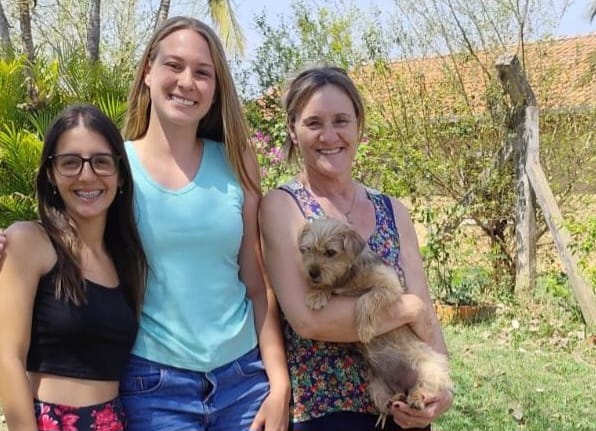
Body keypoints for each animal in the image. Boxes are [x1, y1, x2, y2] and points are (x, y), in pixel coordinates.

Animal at [298, 217, 453, 425]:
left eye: (330, 252)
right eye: (307, 249)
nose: (312, 273)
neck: (348, 275)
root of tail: (402, 385)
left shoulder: (389, 286)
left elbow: (365, 299)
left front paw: (364, 329)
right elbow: (330, 286)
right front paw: (318, 294)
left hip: (428, 368)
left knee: (424, 388)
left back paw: (415, 399)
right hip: (376, 385)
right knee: (389, 404)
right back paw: (394, 400)